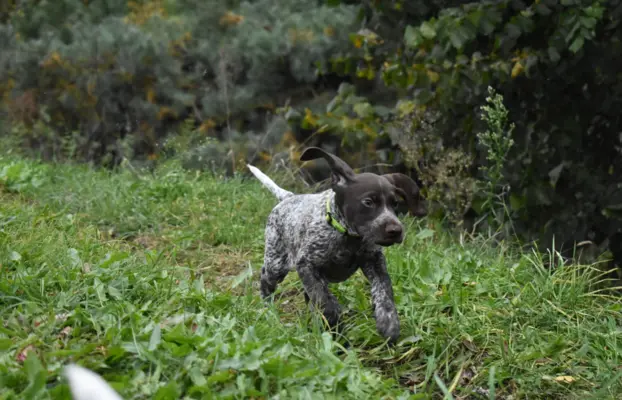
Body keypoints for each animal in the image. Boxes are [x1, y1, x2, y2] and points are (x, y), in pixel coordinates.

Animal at [249, 147, 428, 344]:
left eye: (394, 203)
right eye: (368, 202)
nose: (396, 230)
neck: (348, 236)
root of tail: (289, 198)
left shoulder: (374, 261)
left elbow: (384, 290)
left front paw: (388, 321)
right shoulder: (307, 265)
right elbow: (324, 301)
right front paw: (335, 326)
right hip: (276, 264)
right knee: (266, 280)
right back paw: (268, 309)